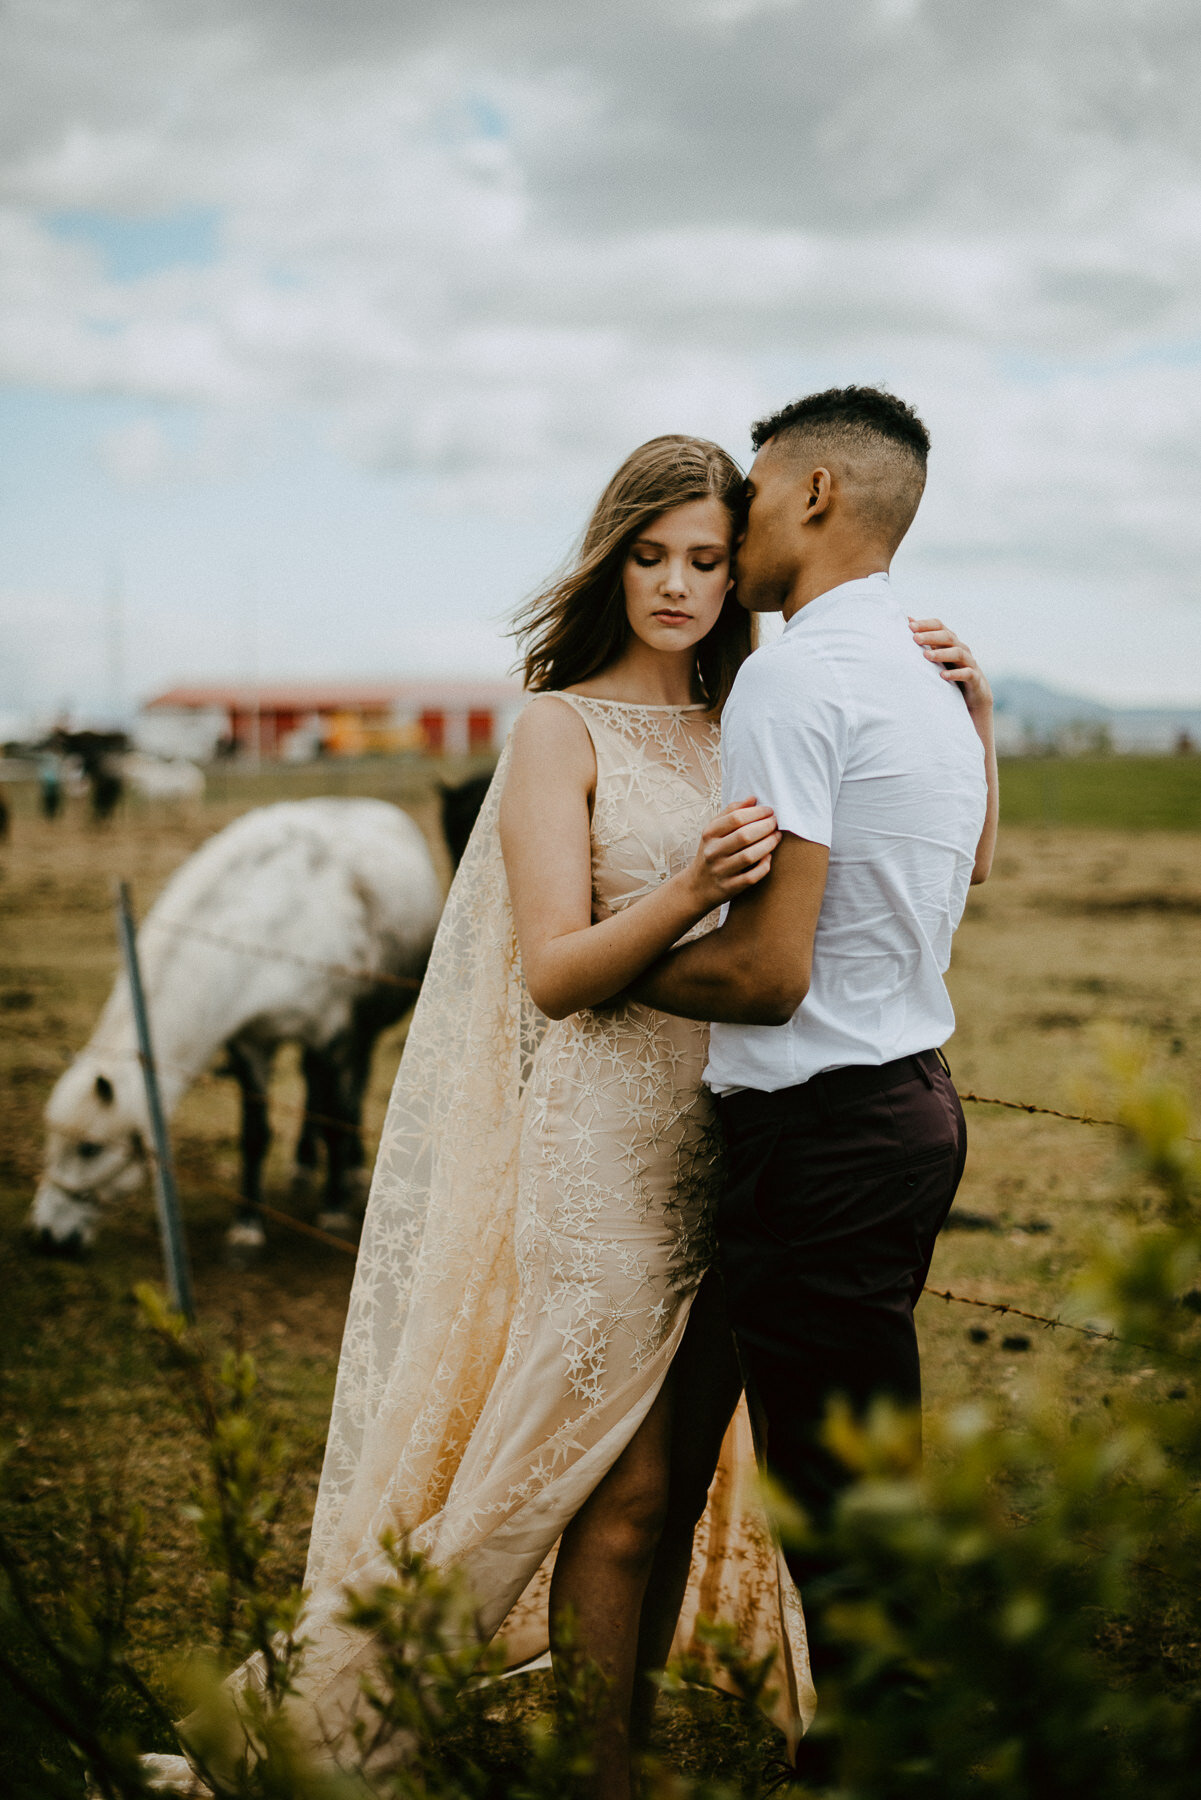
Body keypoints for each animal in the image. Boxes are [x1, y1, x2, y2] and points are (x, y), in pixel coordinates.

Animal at [31, 795, 446, 1260]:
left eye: (90, 1148)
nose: (45, 1237)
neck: (273, 922)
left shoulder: (330, 1033)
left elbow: (335, 1118)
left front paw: (334, 1208)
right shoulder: (251, 1045)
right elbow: (254, 1135)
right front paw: (247, 1227)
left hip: (362, 1031)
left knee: (350, 1085)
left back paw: (352, 1168)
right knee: (315, 1087)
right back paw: (304, 1164)